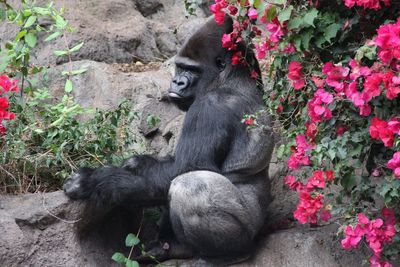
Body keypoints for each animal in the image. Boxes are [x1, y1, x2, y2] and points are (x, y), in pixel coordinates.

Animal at [63, 15, 276, 264]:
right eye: (180, 66)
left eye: (191, 70)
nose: (177, 82)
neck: (230, 79)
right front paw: (137, 163)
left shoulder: (211, 107)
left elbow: (183, 170)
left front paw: (96, 181)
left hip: (248, 229)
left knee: (189, 186)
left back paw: (229, 254)